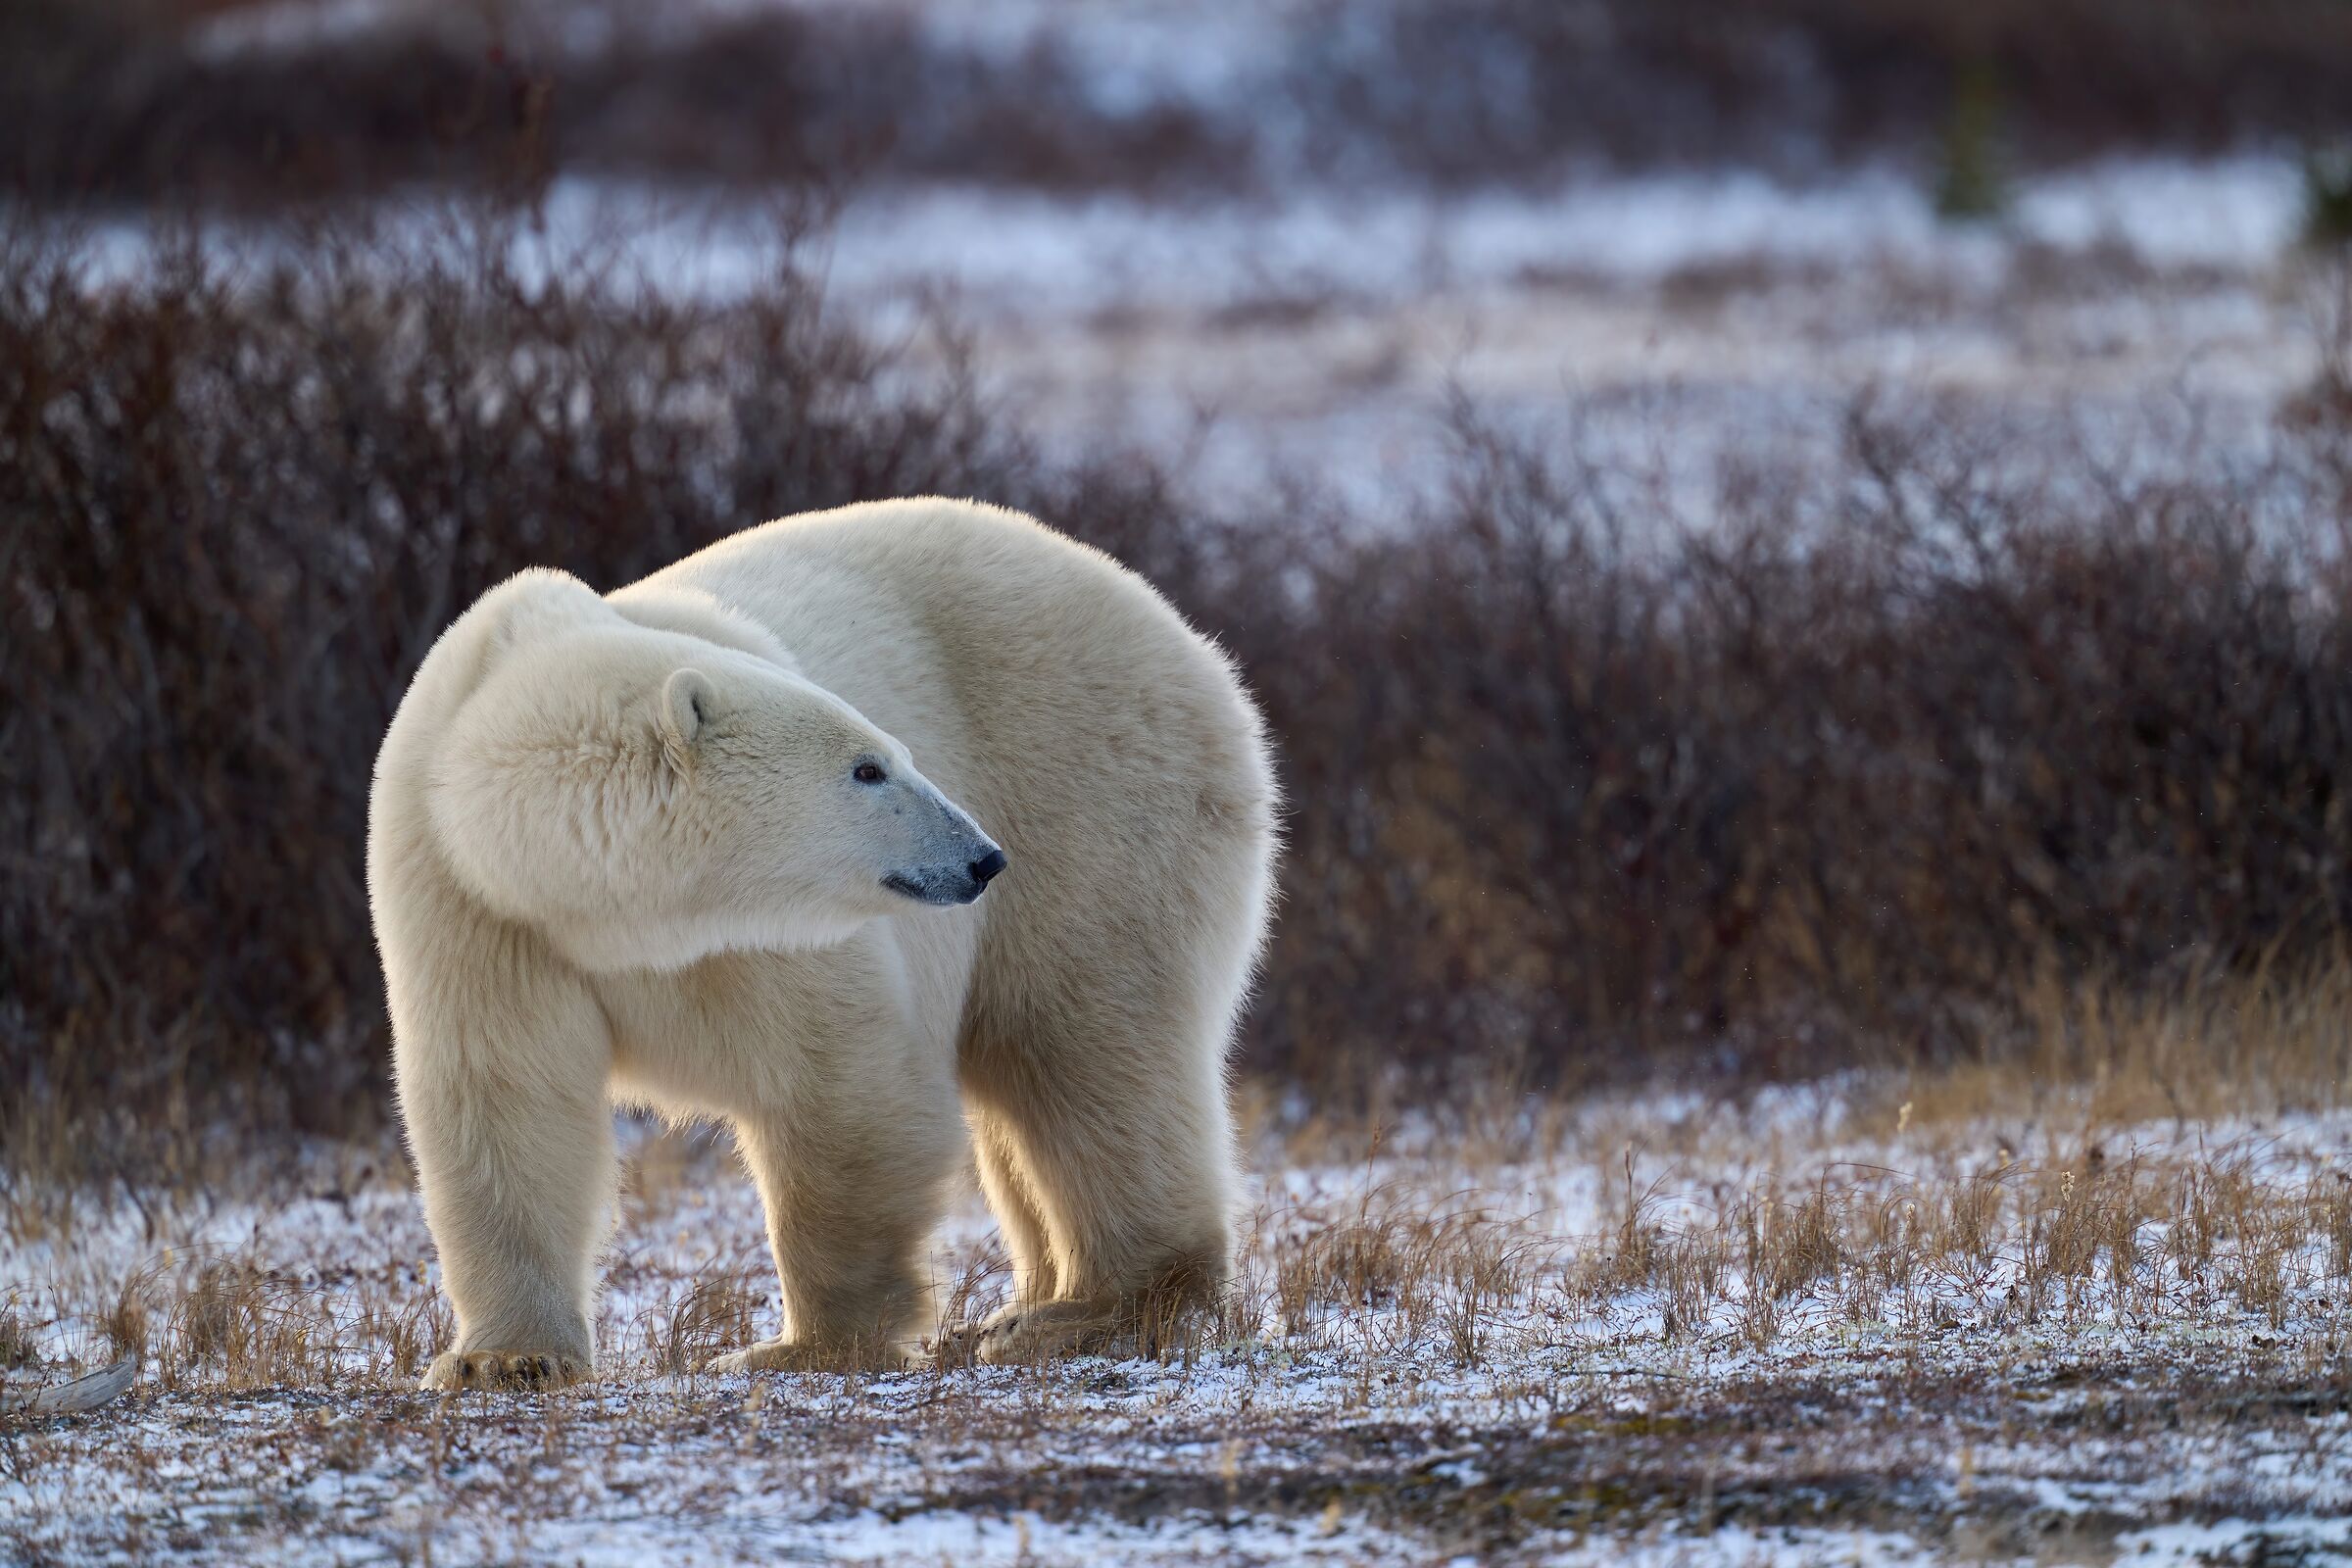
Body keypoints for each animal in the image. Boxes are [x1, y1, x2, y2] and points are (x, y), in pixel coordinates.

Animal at [367, 497, 1277, 1388]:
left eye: (895, 753)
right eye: (868, 770)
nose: (982, 857)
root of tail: (1192, 645)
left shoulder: (779, 927)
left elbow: (840, 1083)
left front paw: (804, 1344)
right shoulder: (473, 903)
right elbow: (504, 1097)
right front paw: (503, 1357)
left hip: (1096, 798)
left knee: (1088, 1050)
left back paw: (1087, 1311)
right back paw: (1028, 1305)